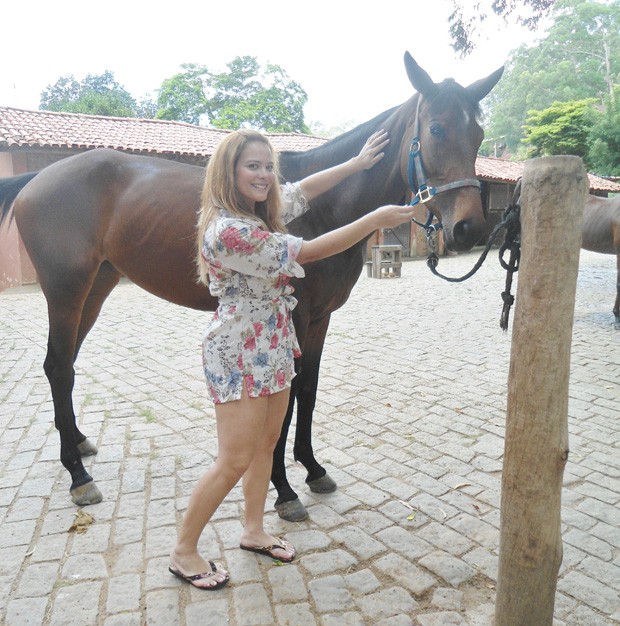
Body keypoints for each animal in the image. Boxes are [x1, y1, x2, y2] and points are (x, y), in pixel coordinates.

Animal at [0, 52, 504, 516]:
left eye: (479, 136)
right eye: (436, 129)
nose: (469, 228)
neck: (323, 210)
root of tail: (38, 177)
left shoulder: (319, 319)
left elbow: (308, 390)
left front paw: (313, 469)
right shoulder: (294, 317)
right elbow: (285, 397)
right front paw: (283, 489)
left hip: (96, 290)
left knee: (64, 365)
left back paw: (80, 444)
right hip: (66, 292)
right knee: (58, 366)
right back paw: (78, 476)